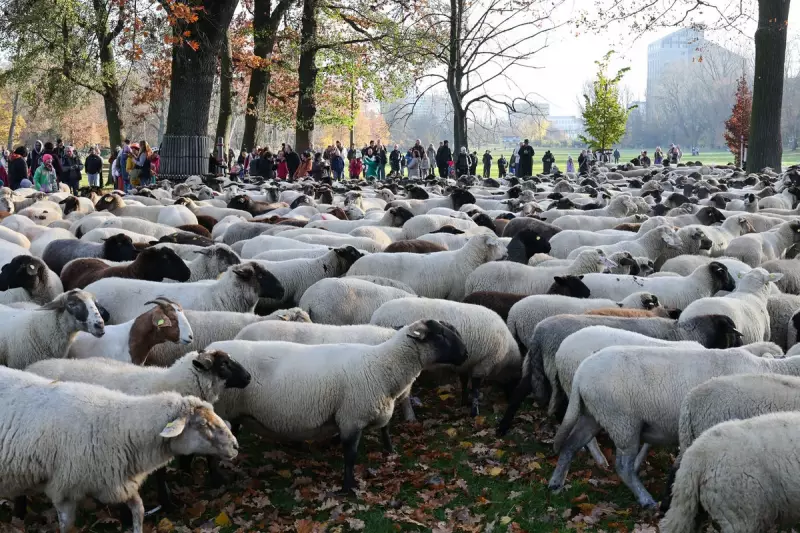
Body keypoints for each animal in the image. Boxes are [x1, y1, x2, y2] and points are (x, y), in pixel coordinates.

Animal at [0, 366, 237, 533]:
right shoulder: (64, 489)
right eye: (203, 424)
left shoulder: (118, 481)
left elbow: (139, 510)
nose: (235, 446)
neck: (118, 425)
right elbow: (67, 526)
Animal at [210, 319, 466, 492]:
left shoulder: (375, 408)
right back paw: (218, 480)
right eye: (441, 336)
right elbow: (350, 456)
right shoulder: (351, 417)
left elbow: (385, 431)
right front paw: (348, 488)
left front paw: (391, 453)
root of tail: (211, 347)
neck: (382, 365)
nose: (465, 354)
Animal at [371, 298, 521, 417]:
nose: (510, 400)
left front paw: (464, 401)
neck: (506, 356)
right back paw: (410, 417)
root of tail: (376, 316)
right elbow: (476, 387)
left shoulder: (465, 364)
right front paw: (474, 410)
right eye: (515, 381)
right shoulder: (484, 364)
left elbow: (464, 382)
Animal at [496, 313, 743, 437]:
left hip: (534, 364)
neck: (685, 331)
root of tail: (539, 333)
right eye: (733, 333)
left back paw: (502, 428)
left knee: (520, 391)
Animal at [550, 344, 800, 508]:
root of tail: (581, 372)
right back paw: (646, 499)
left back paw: (556, 483)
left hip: (593, 414)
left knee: (570, 445)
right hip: (622, 421)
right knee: (623, 466)